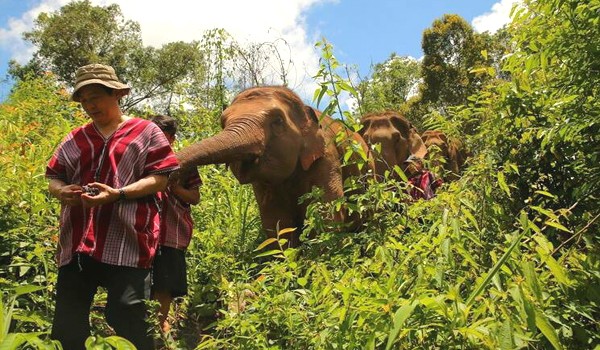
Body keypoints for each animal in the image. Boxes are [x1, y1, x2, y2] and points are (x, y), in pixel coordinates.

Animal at [171, 86, 372, 247]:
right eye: (223, 123)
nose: (175, 175)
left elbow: (327, 212)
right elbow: (277, 221)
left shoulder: (327, 157)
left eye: (278, 121)